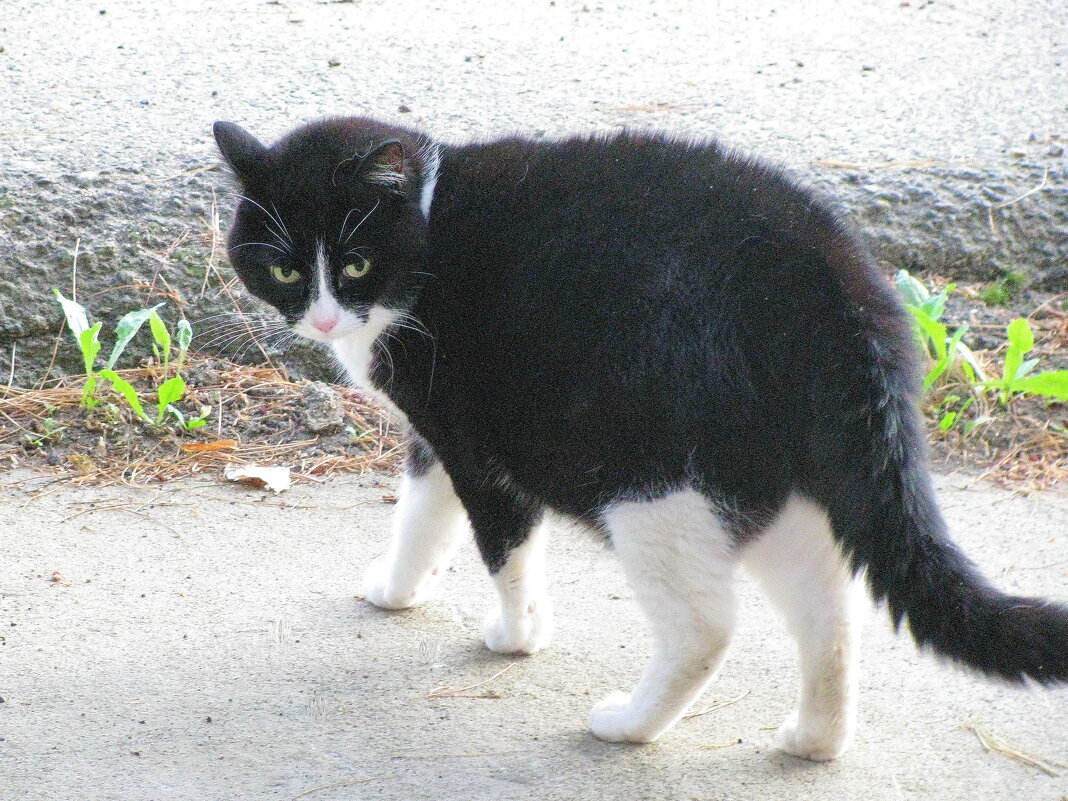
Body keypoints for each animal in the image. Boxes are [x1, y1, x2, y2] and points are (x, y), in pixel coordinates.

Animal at [210, 115, 1068, 760]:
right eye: (285, 270)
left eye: (355, 263)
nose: (323, 319)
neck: (427, 224)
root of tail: (839, 278)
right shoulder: (438, 435)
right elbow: (421, 513)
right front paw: (397, 588)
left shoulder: (477, 443)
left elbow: (501, 544)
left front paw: (517, 635)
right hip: (768, 478)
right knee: (828, 610)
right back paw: (814, 738)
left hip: (651, 475)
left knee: (706, 625)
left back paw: (629, 724)